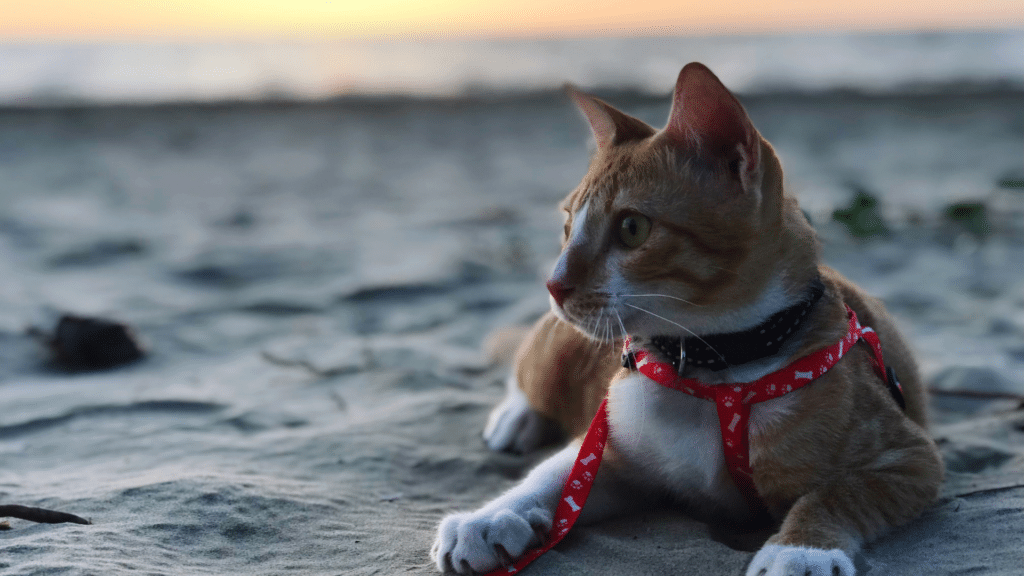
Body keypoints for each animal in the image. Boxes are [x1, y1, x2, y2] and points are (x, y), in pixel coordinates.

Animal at [428, 62, 937, 573]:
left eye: (632, 228)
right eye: (568, 226)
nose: (553, 284)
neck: (715, 370)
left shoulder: (910, 459)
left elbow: (838, 493)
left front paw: (801, 549)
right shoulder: (613, 454)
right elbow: (559, 473)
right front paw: (489, 518)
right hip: (558, 351)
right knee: (528, 369)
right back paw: (517, 417)